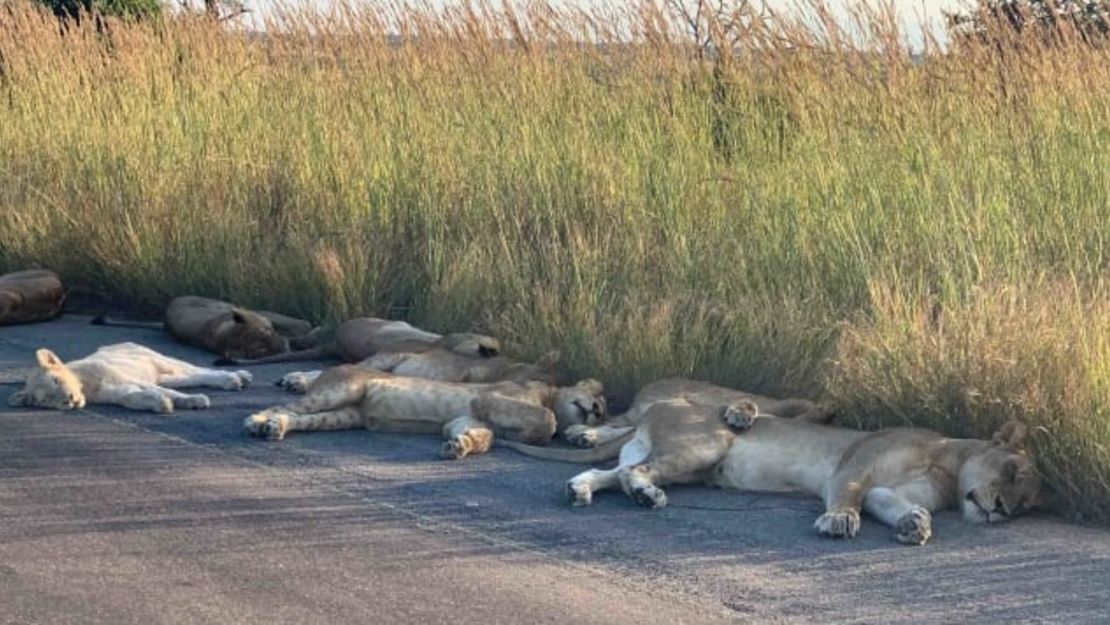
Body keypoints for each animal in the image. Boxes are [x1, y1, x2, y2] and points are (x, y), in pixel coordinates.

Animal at [7, 344, 254, 412]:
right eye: (48, 400)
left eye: (56, 381)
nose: (69, 400)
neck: (86, 386)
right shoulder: (117, 393)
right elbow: (132, 398)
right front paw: (160, 404)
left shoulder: (123, 377)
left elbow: (171, 393)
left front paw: (194, 401)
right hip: (163, 375)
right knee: (189, 378)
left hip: (160, 359)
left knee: (198, 370)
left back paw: (236, 377)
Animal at [243, 364, 608, 461]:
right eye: (597, 399)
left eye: (603, 413)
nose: (595, 410)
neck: (549, 395)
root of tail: (333, 367)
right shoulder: (488, 398)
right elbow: (548, 421)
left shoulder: (464, 419)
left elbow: (481, 437)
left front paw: (459, 447)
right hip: (344, 388)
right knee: (287, 405)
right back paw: (256, 421)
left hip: (343, 416)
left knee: (301, 417)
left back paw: (276, 428)